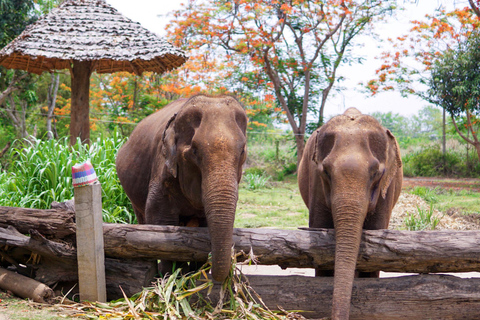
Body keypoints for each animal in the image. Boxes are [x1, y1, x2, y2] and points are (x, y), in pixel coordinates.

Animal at [116, 94, 248, 282]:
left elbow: (204, 226)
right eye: (194, 151)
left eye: (242, 151)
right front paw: (170, 278)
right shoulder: (162, 170)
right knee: (142, 220)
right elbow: (160, 220)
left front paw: (192, 276)